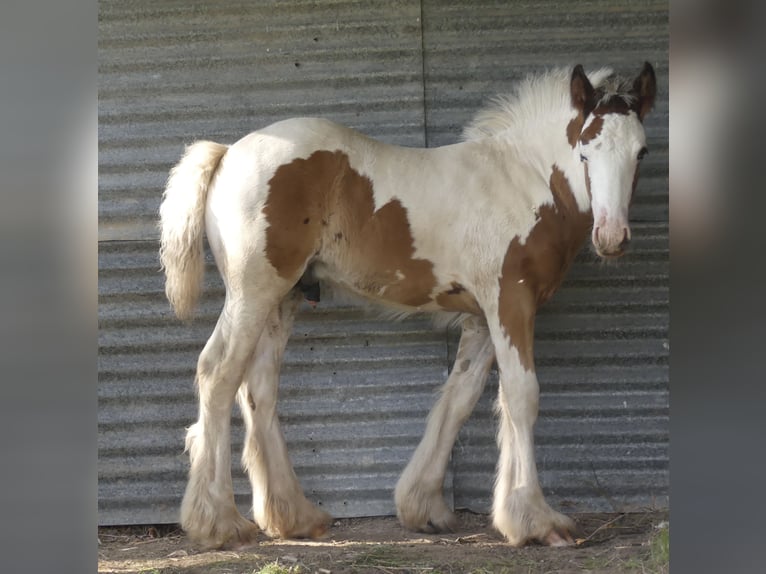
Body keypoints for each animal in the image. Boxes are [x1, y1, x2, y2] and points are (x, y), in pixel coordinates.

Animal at [159, 62, 656, 548]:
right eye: (585, 152)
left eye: (641, 153)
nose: (612, 238)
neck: (522, 179)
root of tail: (227, 152)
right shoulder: (510, 301)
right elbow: (521, 396)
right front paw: (536, 521)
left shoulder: (482, 317)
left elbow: (460, 397)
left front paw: (425, 507)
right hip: (253, 291)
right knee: (218, 373)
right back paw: (218, 523)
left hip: (283, 298)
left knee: (259, 387)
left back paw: (293, 517)